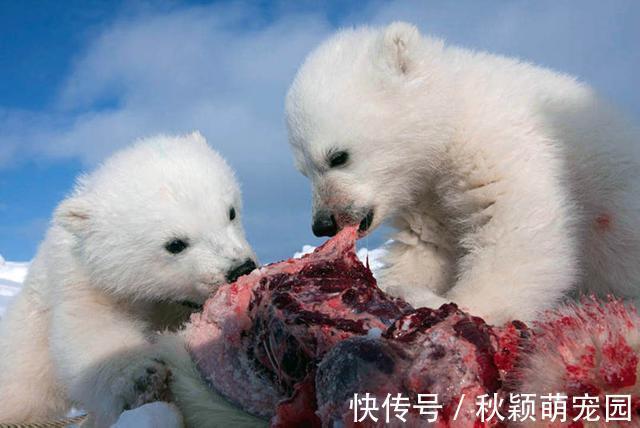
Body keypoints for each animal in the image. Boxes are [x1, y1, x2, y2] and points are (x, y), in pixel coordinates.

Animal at [0, 132, 259, 427]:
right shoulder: (86, 281)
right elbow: (92, 329)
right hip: (29, 338)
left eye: (231, 212)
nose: (240, 268)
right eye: (175, 244)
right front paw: (142, 377)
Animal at [285, 22, 640, 324]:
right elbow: (426, 244)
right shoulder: (428, 192)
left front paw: (461, 304)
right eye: (303, 171)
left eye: (337, 157)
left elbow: (515, 223)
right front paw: (397, 284)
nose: (323, 224)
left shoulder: (499, 142)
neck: (455, 111)